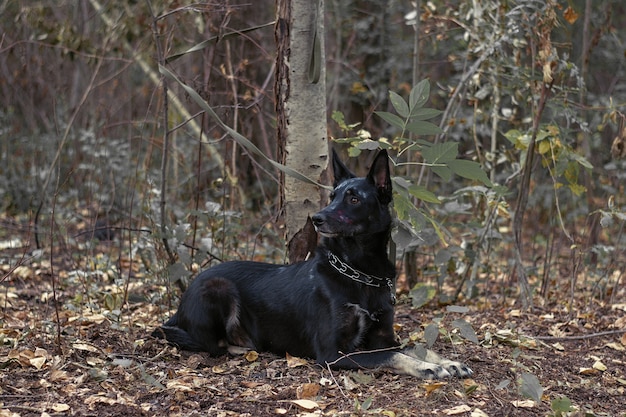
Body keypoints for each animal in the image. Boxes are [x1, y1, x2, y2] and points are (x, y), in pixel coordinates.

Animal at [154, 150, 470, 376]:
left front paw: (447, 362)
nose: (317, 218)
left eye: (354, 198)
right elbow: (393, 355)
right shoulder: (333, 353)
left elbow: (413, 346)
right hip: (217, 287)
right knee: (208, 344)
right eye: (332, 196)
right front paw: (429, 367)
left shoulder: (383, 336)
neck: (360, 271)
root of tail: (180, 306)